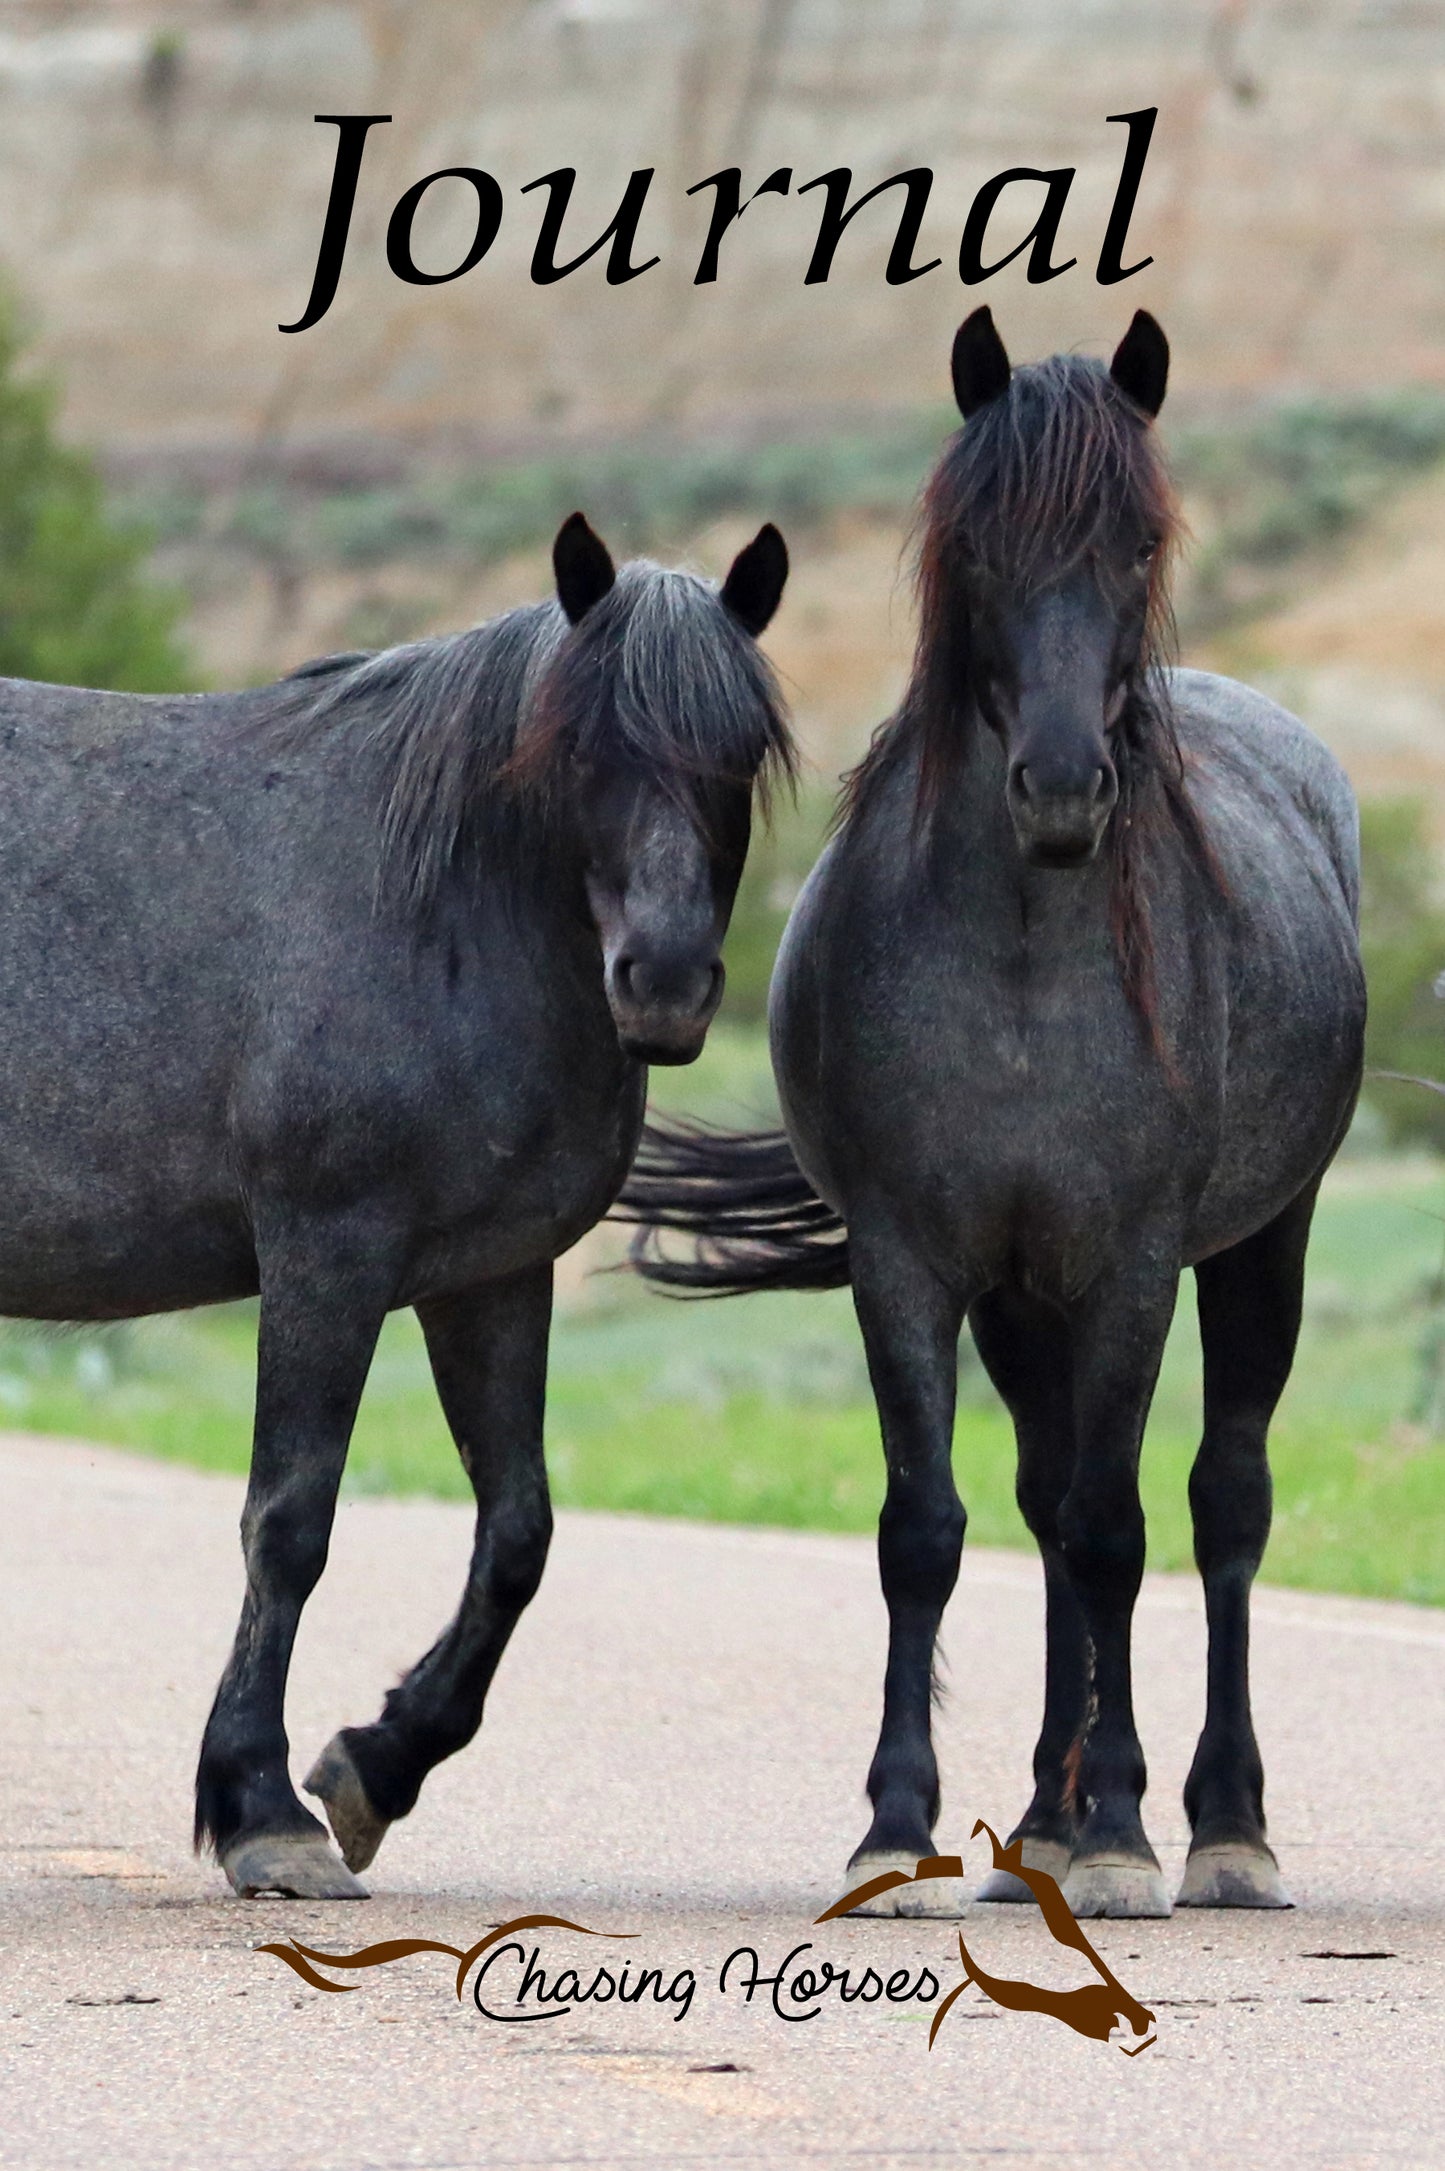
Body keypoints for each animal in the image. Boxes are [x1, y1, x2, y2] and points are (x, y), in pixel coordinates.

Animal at [0, 510, 791, 1900]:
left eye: (738, 748)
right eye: (579, 743)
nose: (664, 979)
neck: (439, 906)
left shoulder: (489, 1276)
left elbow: (518, 1529)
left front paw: (376, 1761)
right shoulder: (328, 1252)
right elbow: (291, 1520)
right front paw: (263, 1809)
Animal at [619, 311, 1366, 1920]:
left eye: (1137, 540)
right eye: (978, 547)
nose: (1063, 786)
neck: (1024, 963)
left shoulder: (1134, 1263)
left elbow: (1117, 1528)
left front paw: (1128, 1832)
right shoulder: (916, 1261)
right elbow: (932, 1531)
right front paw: (900, 1824)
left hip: (1261, 1242)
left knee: (1218, 1501)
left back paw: (1221, 1826)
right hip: (1029, 1302)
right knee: (1039, 1503)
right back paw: (1039, 1819)